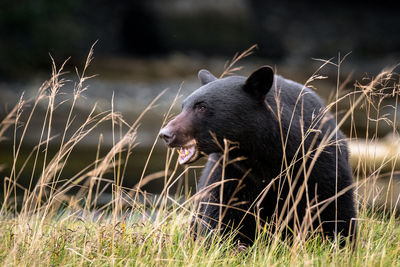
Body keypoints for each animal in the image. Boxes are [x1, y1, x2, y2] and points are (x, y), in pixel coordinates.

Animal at [159, 66, 356, 245]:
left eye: (202, 106)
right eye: (183, 106)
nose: (166, 134)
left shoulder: (319, 164)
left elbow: (334, 210)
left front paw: (338, 243)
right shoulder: (230, 172)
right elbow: (220, 211)